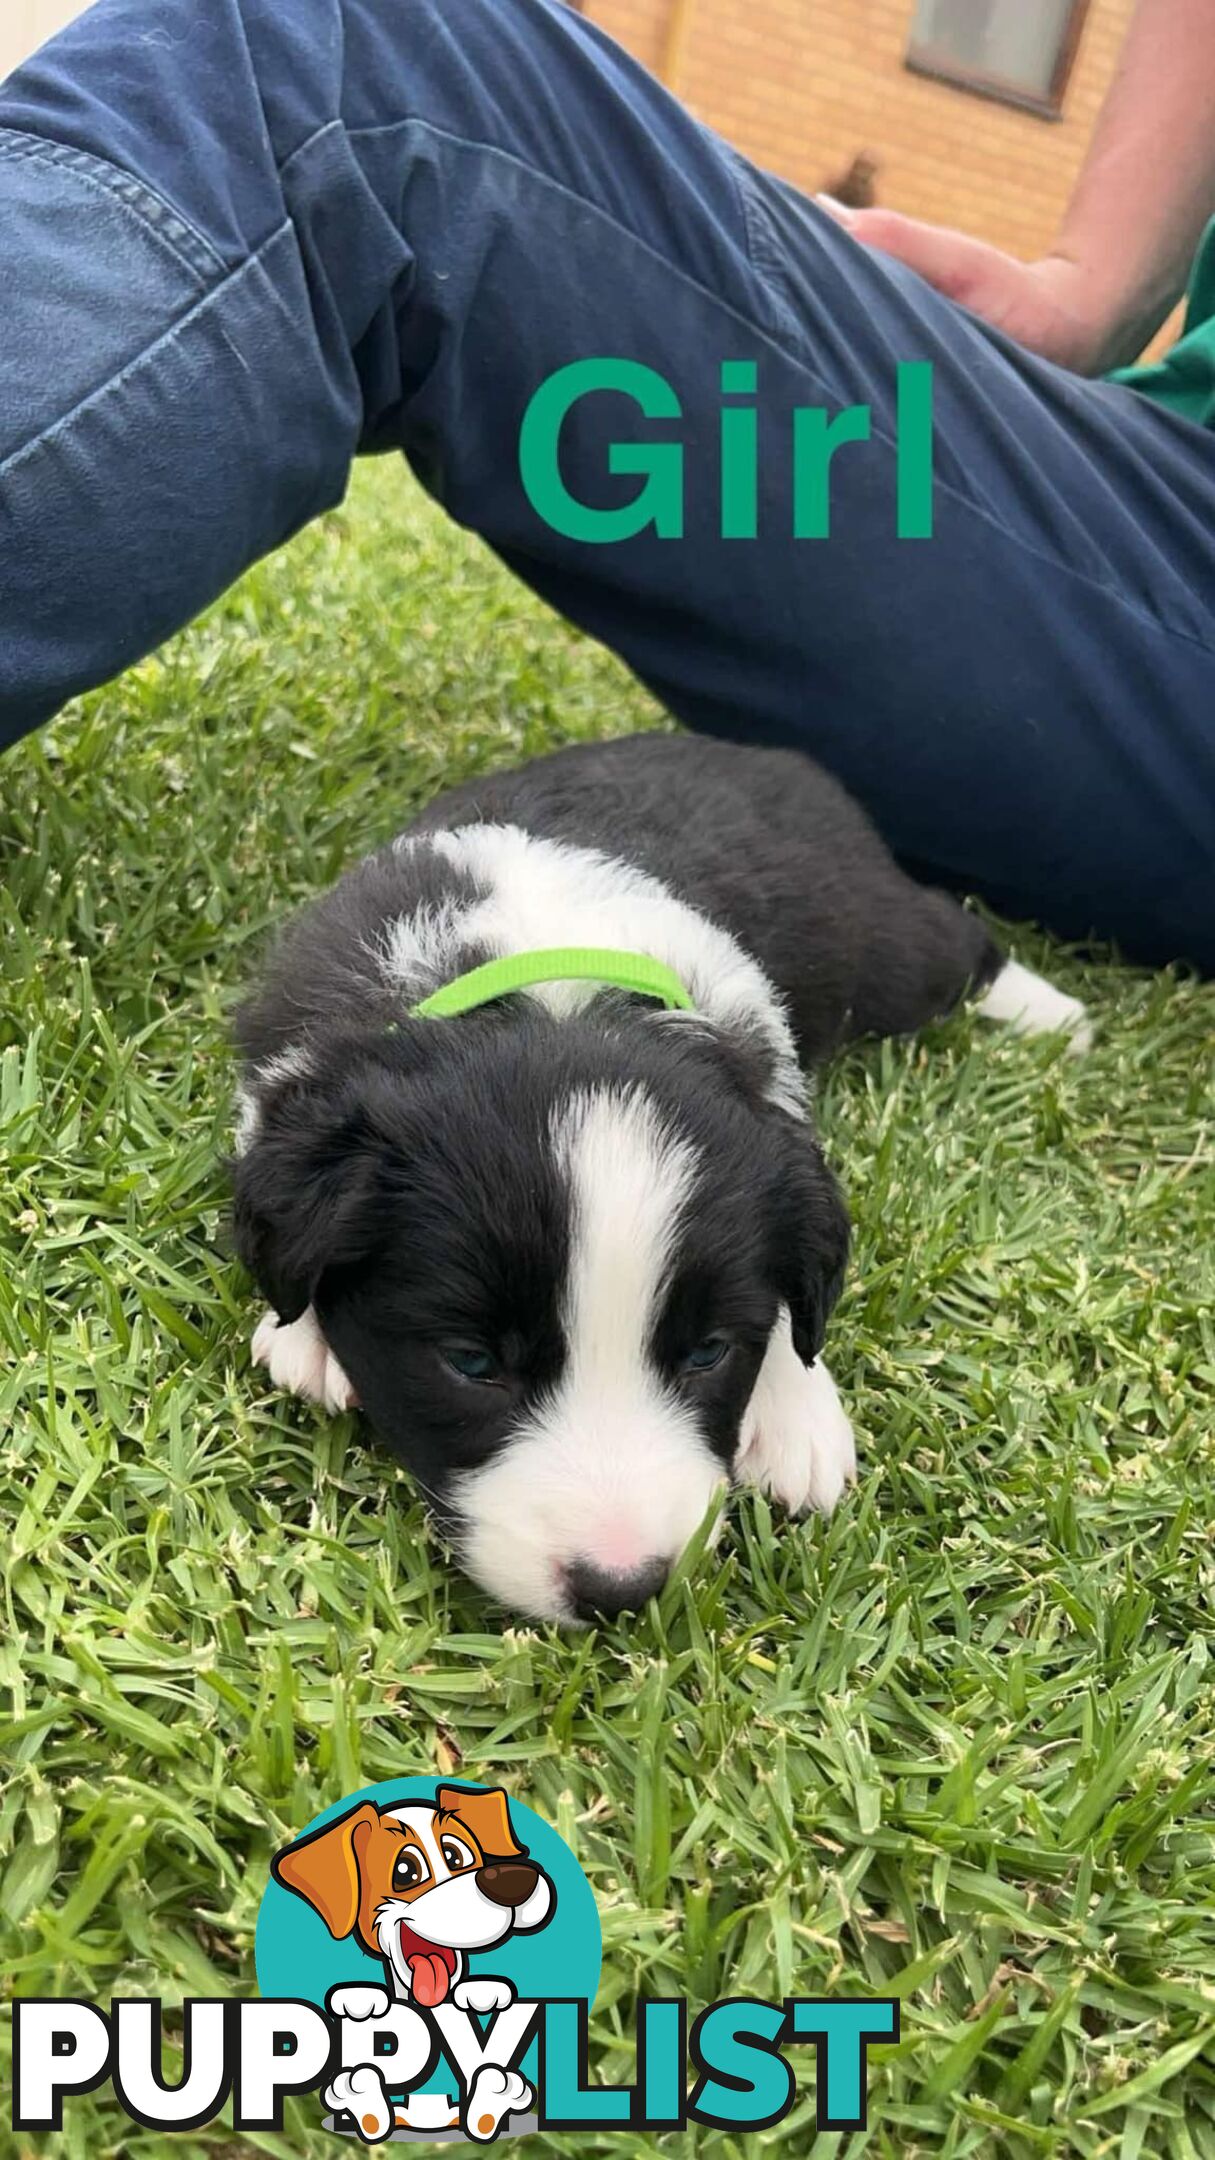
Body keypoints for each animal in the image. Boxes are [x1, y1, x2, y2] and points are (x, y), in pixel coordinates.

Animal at [231, 734, 1080, 1615]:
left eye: (707, 1353)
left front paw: (796, 1413)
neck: (546, 983)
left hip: (876, 943)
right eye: (470, 1362)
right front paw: (307, 1336)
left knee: (952, 934)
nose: (620, 1589)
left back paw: (1054, 1018)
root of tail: (763, 755)